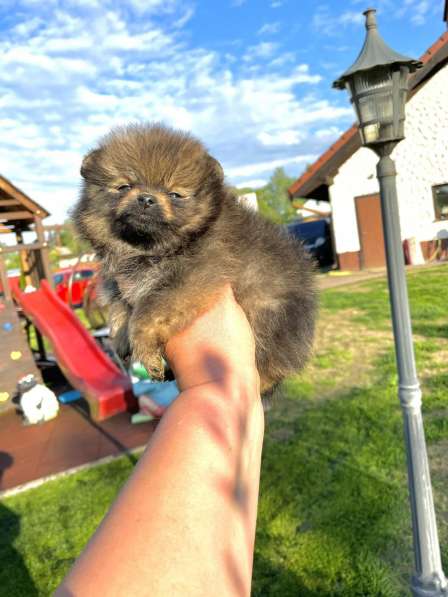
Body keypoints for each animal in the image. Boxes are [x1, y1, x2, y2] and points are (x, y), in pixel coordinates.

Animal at [72, 123, 316, 392]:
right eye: (124, 187)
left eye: (175, 195)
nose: (146, 198)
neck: (147, 249)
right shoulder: (118, 283)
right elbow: (118, 308)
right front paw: (120, 337)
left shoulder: (190, 278)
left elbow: (145, 313)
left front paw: (144, 351)